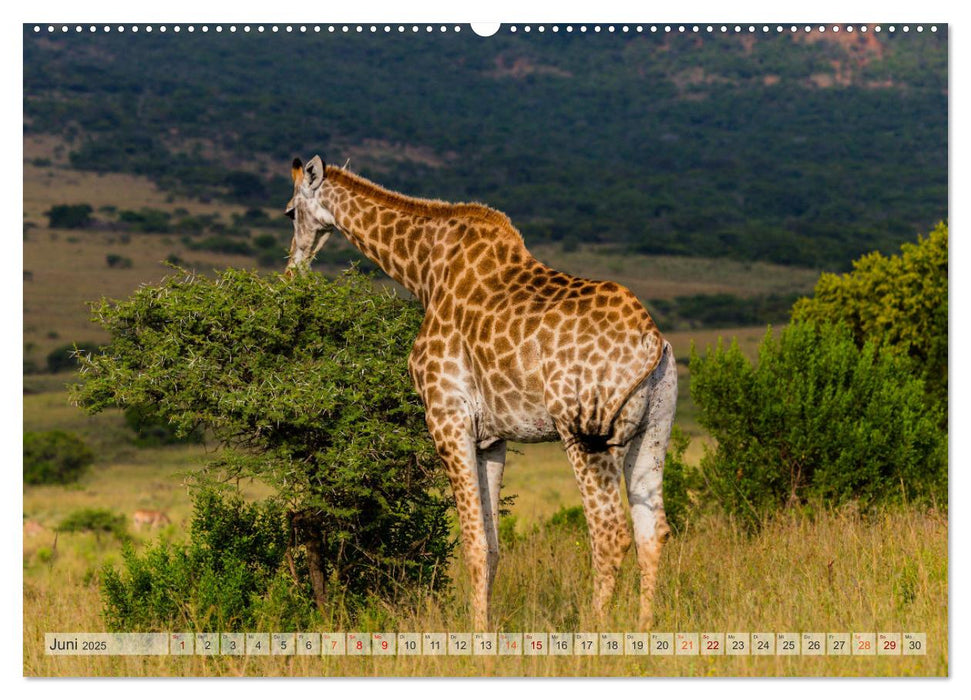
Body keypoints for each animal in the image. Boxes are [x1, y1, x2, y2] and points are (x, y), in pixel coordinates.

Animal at [282, 154, 676, 628]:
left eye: (289, 212)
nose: (291, 270)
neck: (424, 271)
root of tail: (650, 340)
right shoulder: (491, 437)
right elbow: (491, 546)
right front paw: (483, 629)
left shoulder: (446, 417)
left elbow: (471, 543)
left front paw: (475, 636)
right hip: (654, 427)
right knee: (652, 530)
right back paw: (644, 629)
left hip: (584, 432)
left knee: (609, 532)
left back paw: (594, 631)